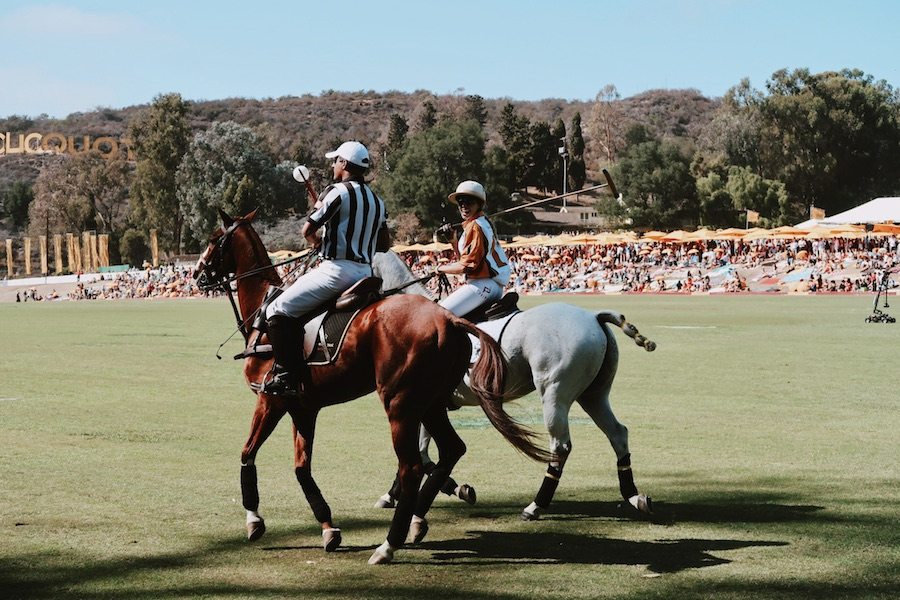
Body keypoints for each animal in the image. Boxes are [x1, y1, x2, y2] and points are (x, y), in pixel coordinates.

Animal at [195, 210, 548, 564]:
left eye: (214, 239)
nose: (198, 276)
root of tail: (450, 320)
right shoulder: (303, 407)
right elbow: (301, 469)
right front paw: (329, 528)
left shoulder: (270, 399)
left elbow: (248, 453)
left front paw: (254, 520)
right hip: (431, 402)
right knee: (451, 449)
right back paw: (419, 519)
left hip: (400, 402)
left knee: (412, 466)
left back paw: (389, 544)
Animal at [370, 251, 656, 524]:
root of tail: (594, 316)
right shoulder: (431, 406)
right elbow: (422, 453)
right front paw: (452, 489)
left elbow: (418, 455)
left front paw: (402, 494)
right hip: (594, 394)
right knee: (618, 433)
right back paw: (634, 496)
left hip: (554, 394)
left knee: (560, 446)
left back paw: (535, 506)